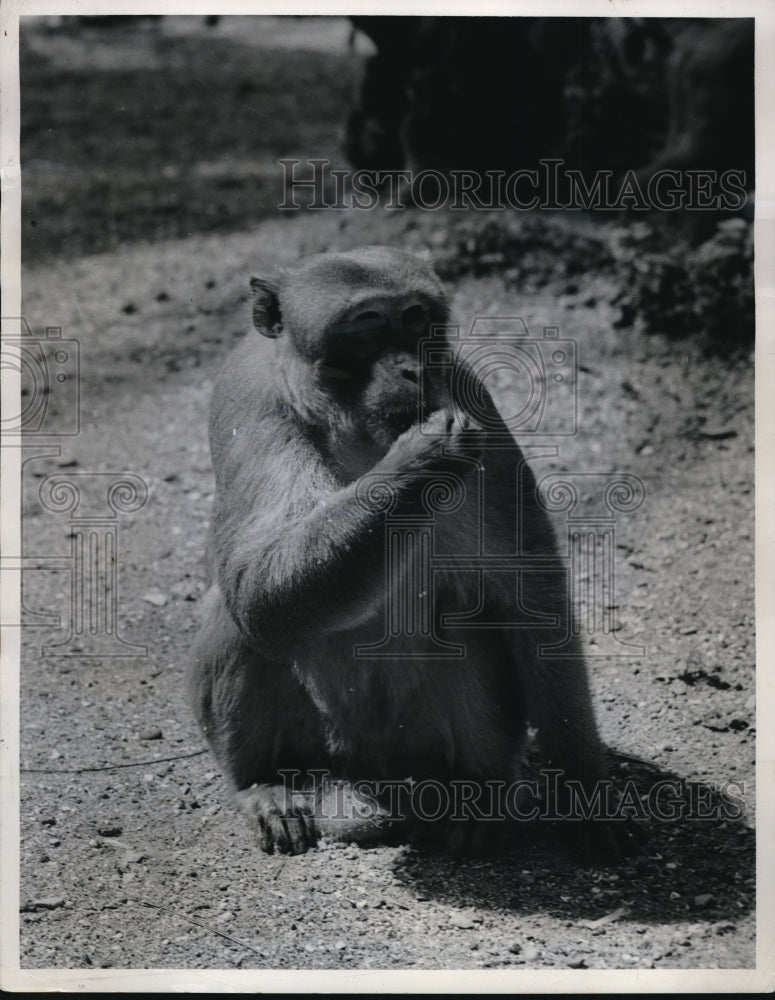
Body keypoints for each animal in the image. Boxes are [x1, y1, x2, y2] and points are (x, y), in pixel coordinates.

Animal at [188, 245, 623, 859]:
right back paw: (263, 784)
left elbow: (530, 590)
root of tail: (375, 772)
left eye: (415, 318)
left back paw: (477, 793)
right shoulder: (251, 403)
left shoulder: (473, 401)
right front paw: (422, 458)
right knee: (235, 617)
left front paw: (585, 790)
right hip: (321, 742)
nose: (412, 369)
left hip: (423, 740)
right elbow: (257, 594)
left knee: (467, 612)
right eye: (368, 324)